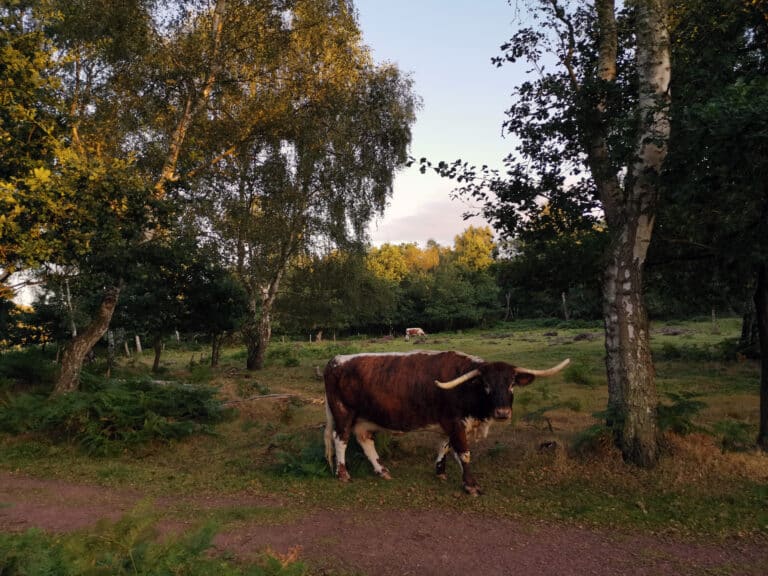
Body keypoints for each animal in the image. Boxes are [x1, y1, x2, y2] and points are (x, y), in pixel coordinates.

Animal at [323, 350, 570, 495]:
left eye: (511, 384)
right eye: (486, 385)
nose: (502, 412)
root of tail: (335, 361)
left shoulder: (448, 425)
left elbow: (445, 446)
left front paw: (441, 472)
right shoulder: (455, 423)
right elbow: (464, 453)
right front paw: (470, 484)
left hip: (365, 419)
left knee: (364, 440)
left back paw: (382, 470)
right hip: (343, 412)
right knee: (340, 439)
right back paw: (343, 474)